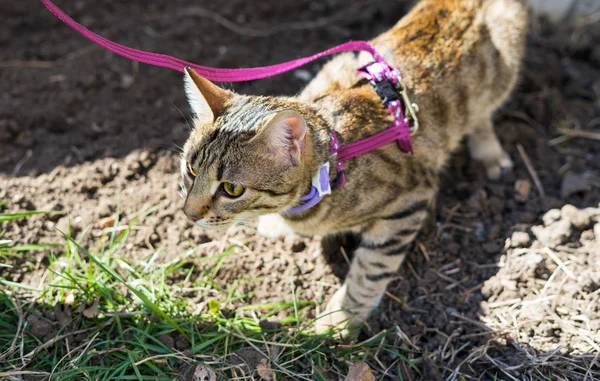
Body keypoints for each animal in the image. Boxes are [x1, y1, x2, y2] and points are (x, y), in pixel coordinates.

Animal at [180, 0, 528, 332]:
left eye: (231, 189)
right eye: (191, 170)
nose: (189, 213)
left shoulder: (409, 201)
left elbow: (370, 269)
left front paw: (340, 320)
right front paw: (277, 225)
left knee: (483, 112)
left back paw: (489, 153)